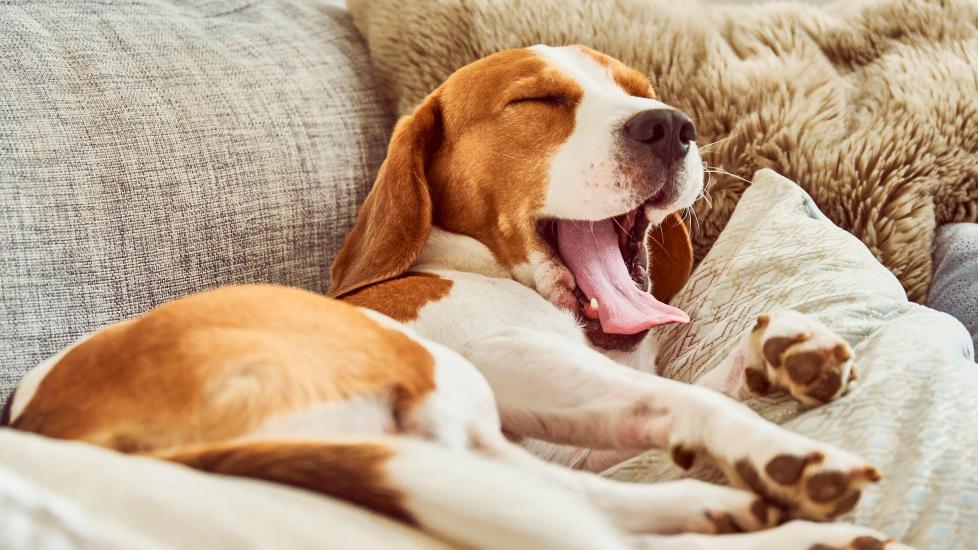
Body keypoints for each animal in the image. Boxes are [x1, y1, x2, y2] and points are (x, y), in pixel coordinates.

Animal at [5, 45, 908, 548]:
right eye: (536, 101)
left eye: (636, 86)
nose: (670, 125)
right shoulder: (509, 359)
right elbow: (680, 400)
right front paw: (769, 440)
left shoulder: (560, 427)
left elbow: (668, 402)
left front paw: (777, 354)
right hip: (443, 382)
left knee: (592, 514)